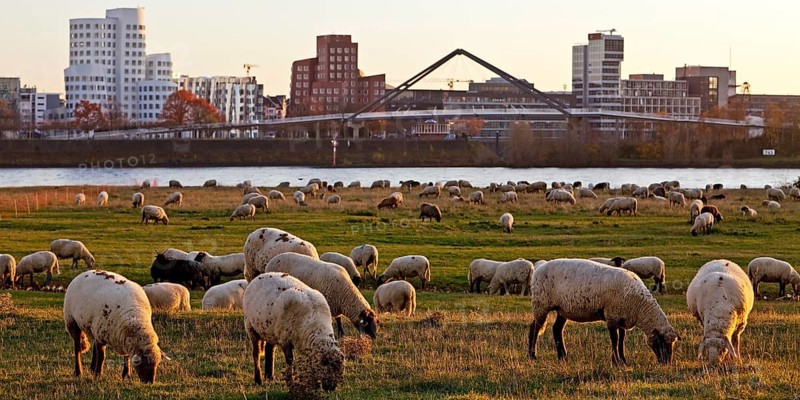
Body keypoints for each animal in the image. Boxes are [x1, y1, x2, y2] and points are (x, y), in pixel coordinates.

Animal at [527, 258, 679, 365]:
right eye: (662, 342)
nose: (666, 363)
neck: (639, 306)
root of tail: (539, 268)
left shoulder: (621, 317)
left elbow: (621, 339)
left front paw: (623, 360)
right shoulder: (611, 316)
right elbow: (615, 339)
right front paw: (616, 361)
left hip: (562, 309)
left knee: (557, 329)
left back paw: (563, 357)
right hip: (541, 304)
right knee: (535, 328)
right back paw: (532, 355)